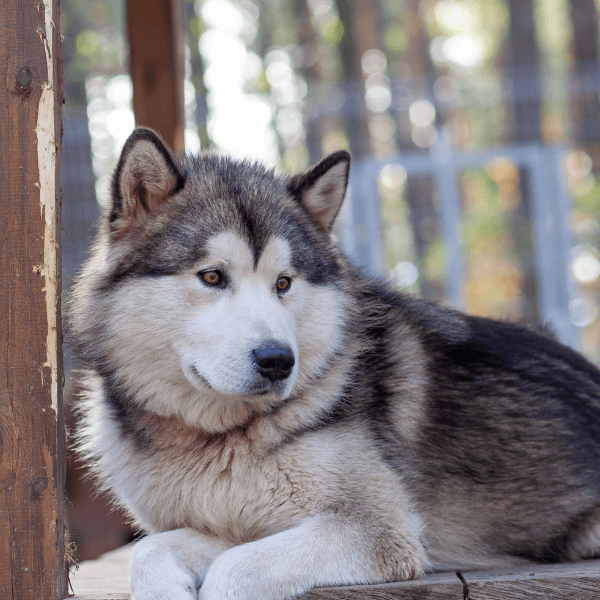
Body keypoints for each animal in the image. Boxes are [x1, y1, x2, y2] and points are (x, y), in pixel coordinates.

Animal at [71, 129, 600, 596]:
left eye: (283, 283)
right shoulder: (236, 525)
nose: (277, 361)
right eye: (213, 276)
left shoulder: (379, 530)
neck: (217, 438)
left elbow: (234, 570)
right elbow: (151, 551)